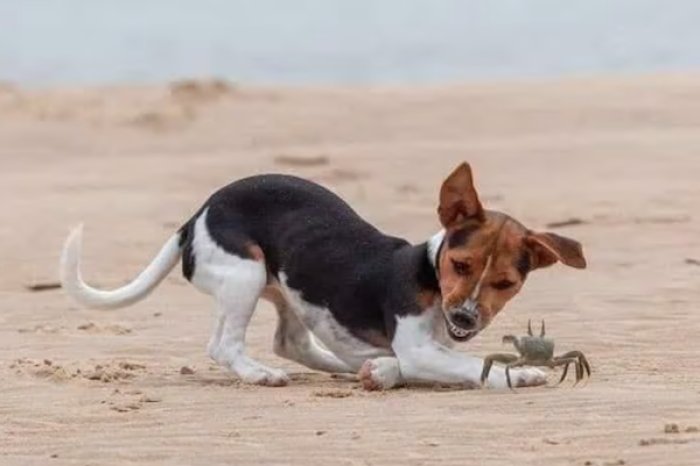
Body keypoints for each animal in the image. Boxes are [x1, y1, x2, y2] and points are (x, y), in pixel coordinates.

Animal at [58, 162, 584, 392]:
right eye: (461, 266)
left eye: (506, 283)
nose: (467, 318)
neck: (429, 278)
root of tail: (196, 216)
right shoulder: (420, 347)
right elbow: (473, 366)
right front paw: (525, 373)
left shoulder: (426, 348)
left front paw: (383, 370)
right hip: (244, 273)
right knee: (223, 346)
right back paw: (260, 374)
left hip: (287, 287)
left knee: (293, 343)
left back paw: (350, 364)